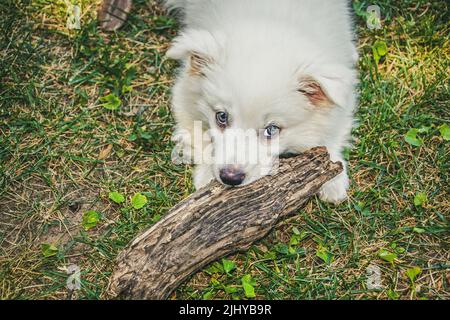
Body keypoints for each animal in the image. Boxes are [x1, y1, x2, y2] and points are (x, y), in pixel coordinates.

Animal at [165, 0, 358, 204]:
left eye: (271, 129)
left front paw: (333, 180)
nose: (230, 178)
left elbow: (331, 134)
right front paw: (206, 177)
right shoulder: (184, 95)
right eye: (221, 117)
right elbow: (197, 134)